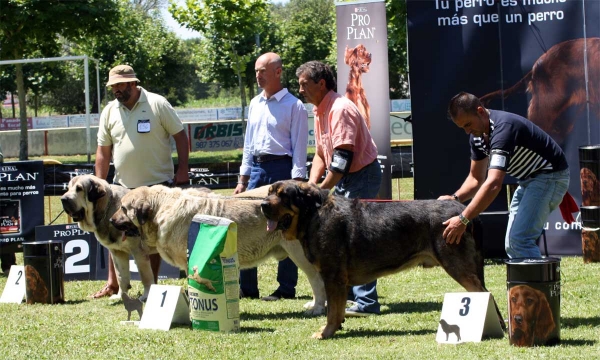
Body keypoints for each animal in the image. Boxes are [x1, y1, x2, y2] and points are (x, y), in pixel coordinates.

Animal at [262, 181, 506, 338]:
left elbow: (332, 312)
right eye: (270, 192)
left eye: (283, 195)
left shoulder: (333, 277)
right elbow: (337, 310)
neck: (313, 215)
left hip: (459, 267)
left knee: (486, 295)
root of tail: (464, 212)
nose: (263, 204)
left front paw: (325, 333)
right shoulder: (337, 281)